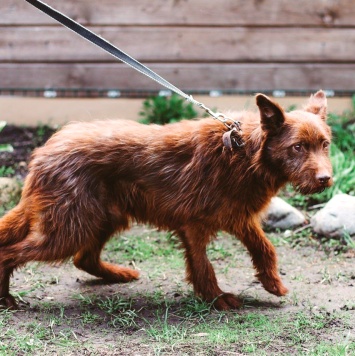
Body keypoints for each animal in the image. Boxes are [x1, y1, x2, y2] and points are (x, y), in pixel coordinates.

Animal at [0, 91, 334, 308]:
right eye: (297, 147)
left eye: (325, 144)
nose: (326, 179)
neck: (244, 152)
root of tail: (43, 154)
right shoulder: (195, 226)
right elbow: (203, 265)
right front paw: (216, 298)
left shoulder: (239, 218)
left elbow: (265, 249)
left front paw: (271, 283)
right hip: (69, 229)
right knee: (10, 253)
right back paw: (6, 298)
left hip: (102, 218)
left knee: (84, 258)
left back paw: (118, 274)